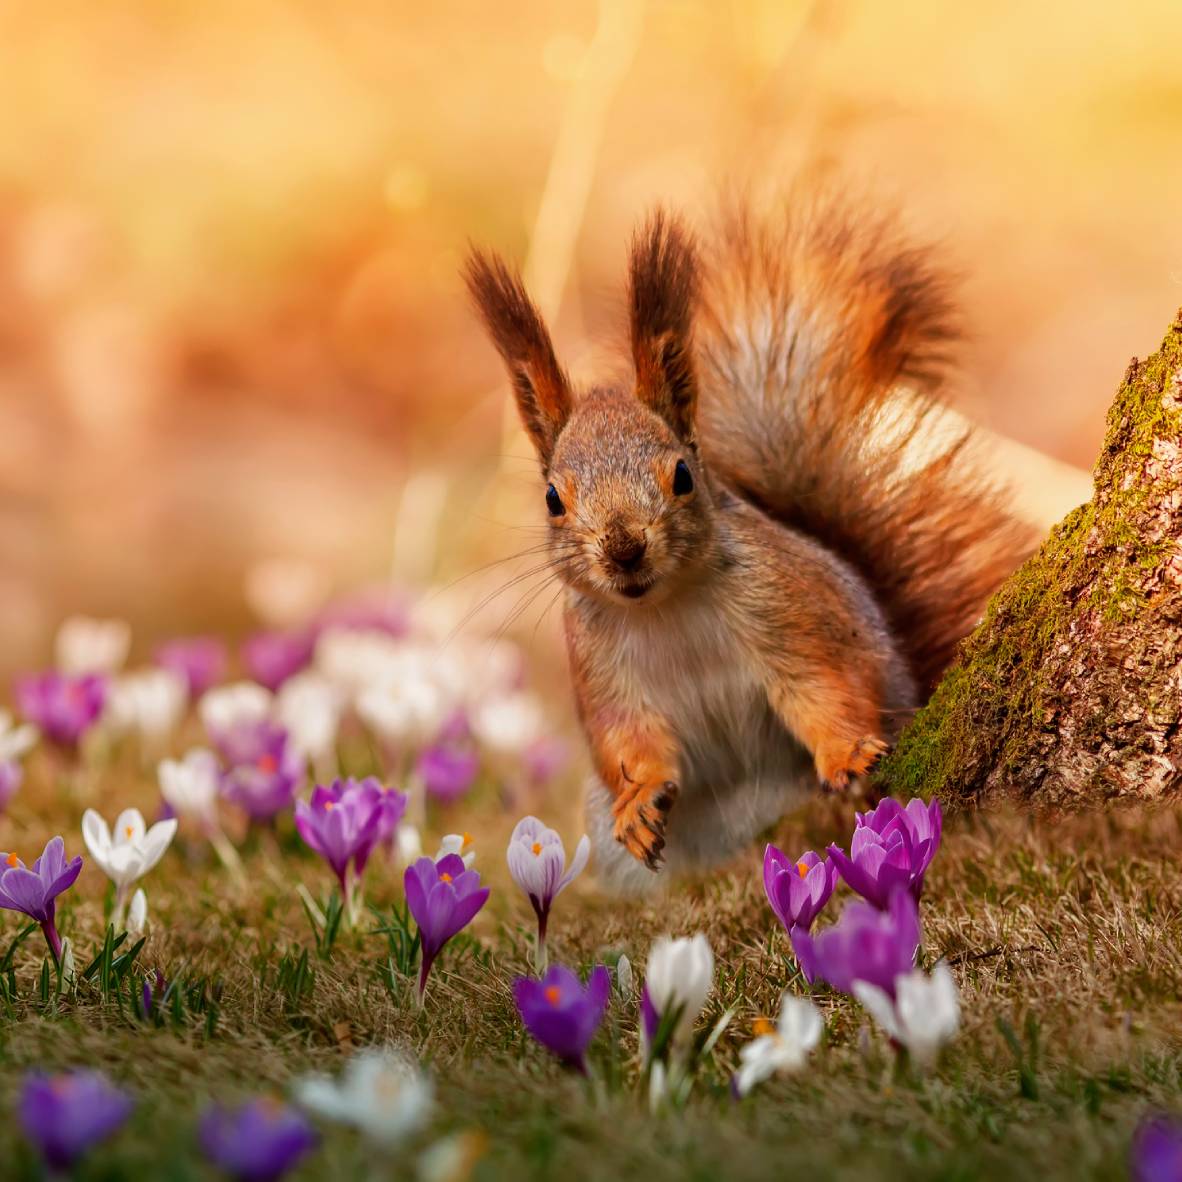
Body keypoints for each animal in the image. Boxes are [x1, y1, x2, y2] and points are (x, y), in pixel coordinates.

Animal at [465, 192, 1033, 894]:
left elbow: (825, 685)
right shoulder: (599, 665)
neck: (665, 606)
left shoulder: (788, 607)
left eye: (682, 475)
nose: (624, 548)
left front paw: (847, 754)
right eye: (552, 499)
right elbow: (626, 738)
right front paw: (638, 801)